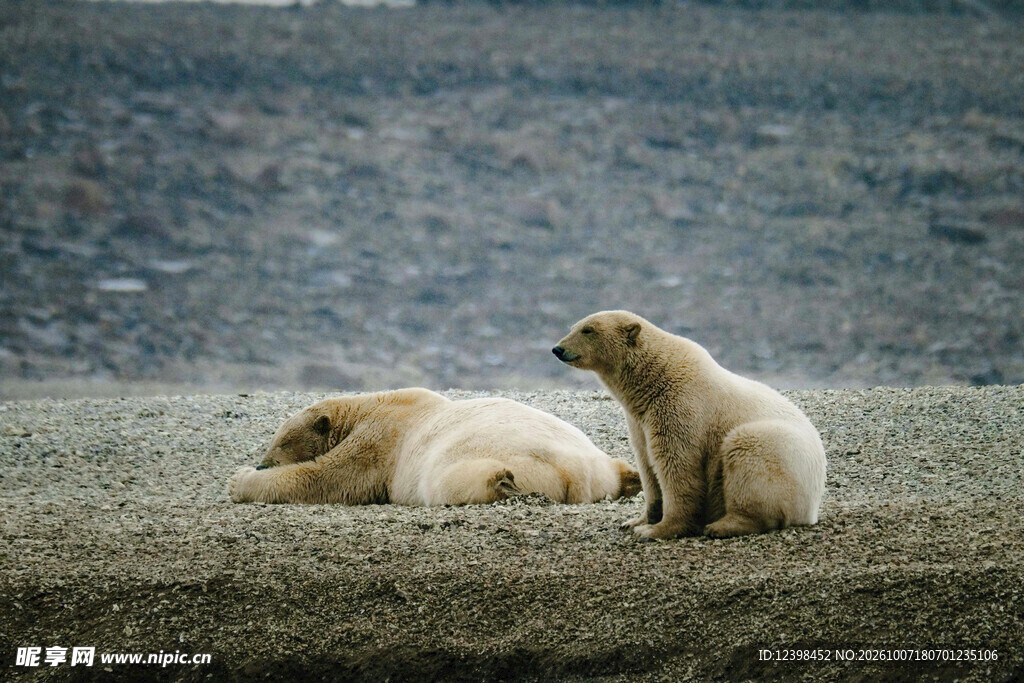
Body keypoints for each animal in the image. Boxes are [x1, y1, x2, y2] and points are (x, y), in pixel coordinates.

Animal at [229, 387, 641, 506]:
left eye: (280, 441)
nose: (262, 463)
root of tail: (578, 473)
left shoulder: (382, 437)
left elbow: (327, 480)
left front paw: (240, 479)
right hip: (596, 459)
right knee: (617, 465)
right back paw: (633, 478)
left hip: (490, 460)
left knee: (453, 481)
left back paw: (502, 483)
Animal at [553, 310, 826, 540]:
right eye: (574, 326)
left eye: (588, 330)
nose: (557, 349)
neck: (653, 380)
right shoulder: (640, 419)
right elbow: (647, 465)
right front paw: (634, 522)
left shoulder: (680, 407)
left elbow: (677, 465)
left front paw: (657, 530)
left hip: (775, 451)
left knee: (747, 458)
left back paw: (721, 525)